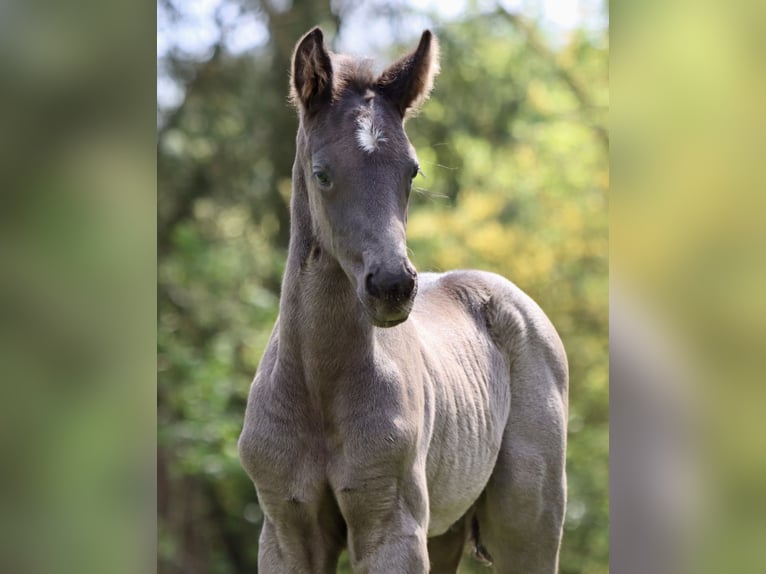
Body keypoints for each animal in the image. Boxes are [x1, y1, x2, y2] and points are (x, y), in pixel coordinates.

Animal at [238, 27, 568, 573]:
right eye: (322, 173)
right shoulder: (285, 531)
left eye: (412, 171)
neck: (319, 386)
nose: (392, 285)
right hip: (447, 529)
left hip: (528, 521)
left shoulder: (391, 528)